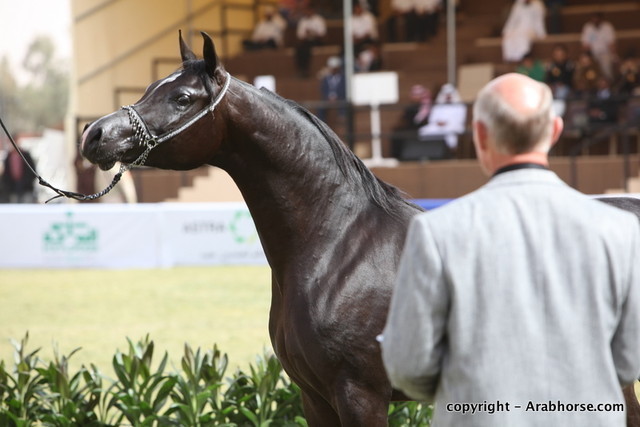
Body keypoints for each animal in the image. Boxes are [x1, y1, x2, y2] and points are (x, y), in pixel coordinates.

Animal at [81, 31, 421, 426]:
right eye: (150, 88)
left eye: (181, 98)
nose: (94, 133)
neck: (343, 246)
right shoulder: (315, 397)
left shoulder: (362, 395)